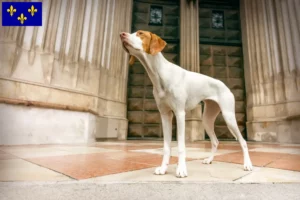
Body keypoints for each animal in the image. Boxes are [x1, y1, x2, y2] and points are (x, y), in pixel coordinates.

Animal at [120, 30, 253, 177]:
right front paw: (163, 168)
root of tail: (225, 85)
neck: (160, 74)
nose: (121, 34)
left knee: (243, 141)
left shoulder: (179, 114)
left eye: (140, 33)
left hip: (229, 117)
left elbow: (181, 146)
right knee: (215, 141)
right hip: (207, 120)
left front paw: (181, 169)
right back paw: (209, 159)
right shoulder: (165, 115)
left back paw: (247, 164)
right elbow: (166, 147)